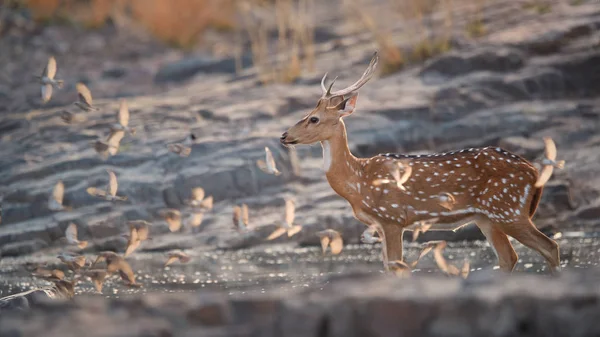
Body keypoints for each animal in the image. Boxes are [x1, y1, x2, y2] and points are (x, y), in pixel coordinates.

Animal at [278, 51, 560, 272]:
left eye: (314, 118)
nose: (284, 135)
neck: (358, 181)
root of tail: (533, 171)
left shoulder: (392, 217)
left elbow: (397, 267)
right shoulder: (380, 225)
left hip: (509, 208)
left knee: (550, 246)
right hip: (487, 217)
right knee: (509, 257)